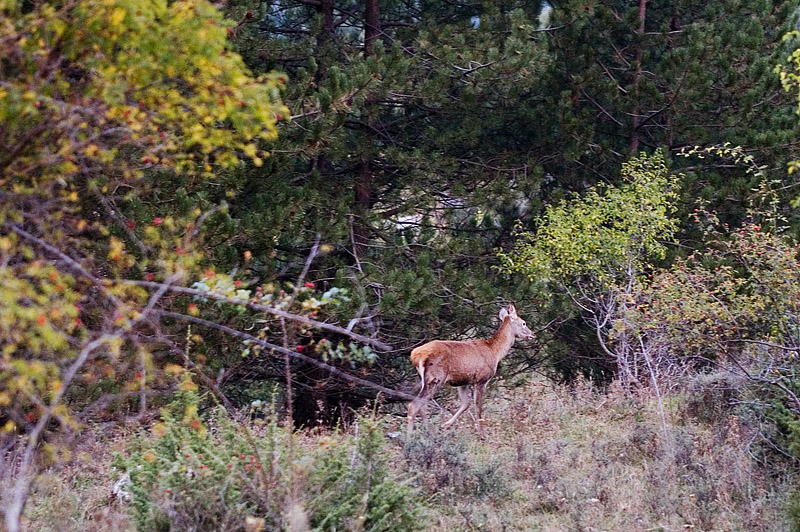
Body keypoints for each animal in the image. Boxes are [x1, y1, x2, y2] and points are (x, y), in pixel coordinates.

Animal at [406, 303, 534, 436]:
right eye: (524, 323)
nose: (533, 333)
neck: (495, 351)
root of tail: (415, 355)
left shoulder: (463, 381)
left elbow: (466, 404)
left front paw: (445, 425)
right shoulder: (481, 379)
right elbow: (478, 407)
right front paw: (482, 435)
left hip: (424, 379)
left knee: (422, 406)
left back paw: (429, 432)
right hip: (436, 377)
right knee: (414, 405)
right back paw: (410, 437)